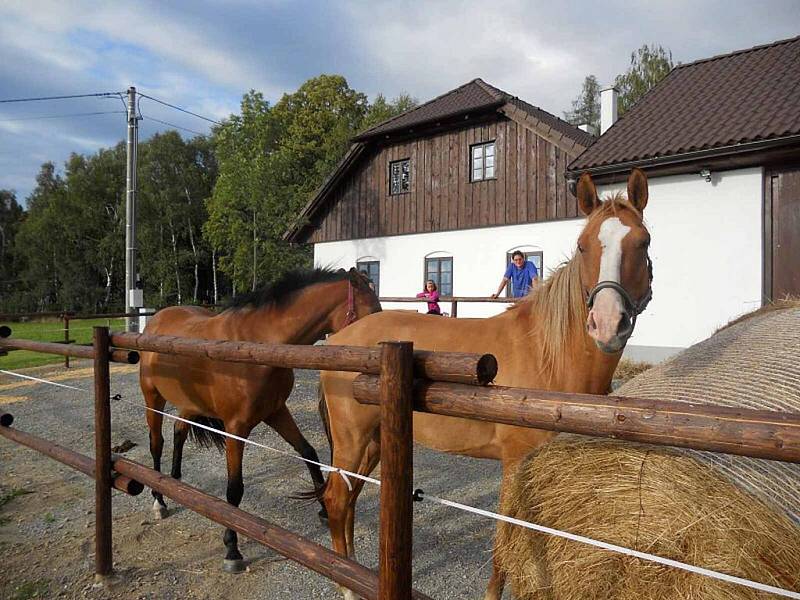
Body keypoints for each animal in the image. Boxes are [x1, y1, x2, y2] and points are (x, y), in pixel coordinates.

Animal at [138, 268, 382, 572]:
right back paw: (159, 500)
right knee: (156, 443)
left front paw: (324, 509)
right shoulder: (236, 427)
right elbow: (234, 489)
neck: (258, 344)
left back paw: (174, 481)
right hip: (153, 398)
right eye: (372, 312)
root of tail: (155, 321)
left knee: (179, 430)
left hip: (190, 404)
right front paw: (232, 549)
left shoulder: (276, 412)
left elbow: (308, 453)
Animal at [318, 170, 656, 600]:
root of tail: (339, 339)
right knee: (336, 499)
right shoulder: (515, 464)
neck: (548, 354)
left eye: (643, 242)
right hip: (353, 439)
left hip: (374, 443)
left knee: (347, 500)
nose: (608, 324)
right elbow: (505, 542)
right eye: (583, 246)